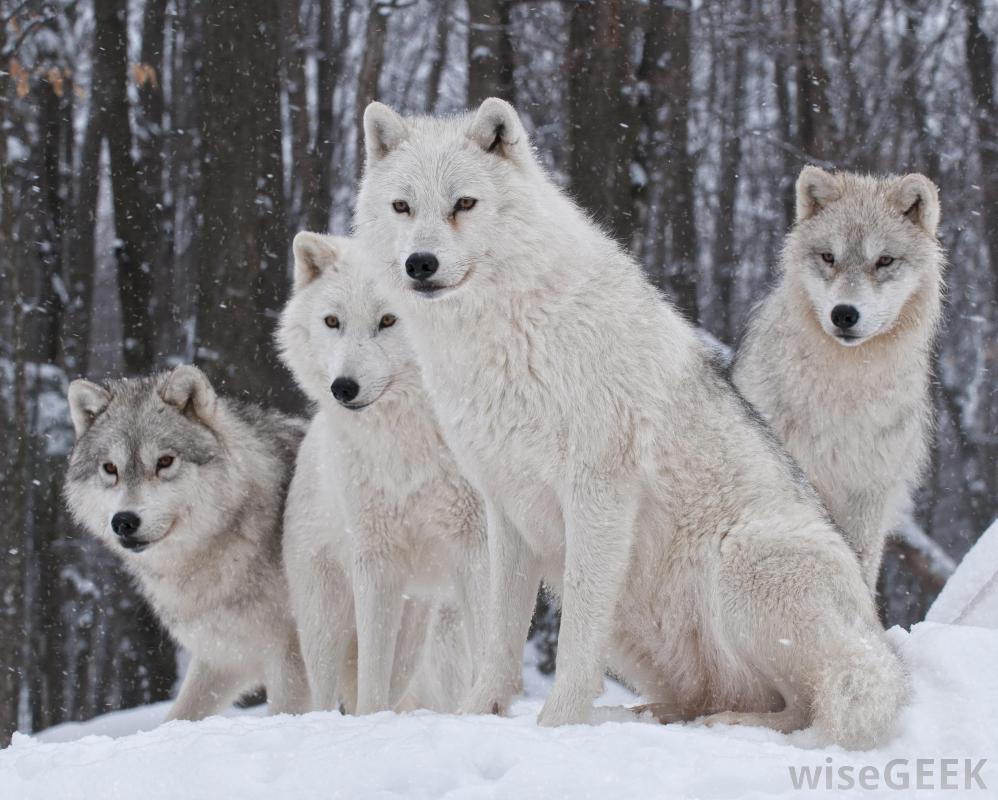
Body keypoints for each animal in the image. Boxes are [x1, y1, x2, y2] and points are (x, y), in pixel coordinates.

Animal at [64, 366, 310, 720]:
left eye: (165, 461)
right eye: (110, 468)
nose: (124, 521)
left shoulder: (293, 656)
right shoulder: (222, 657)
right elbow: (178, 716)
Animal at [356, 100, 912, 752]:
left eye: (463, 203)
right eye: (402, 206)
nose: (420, 263)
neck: (505, 335)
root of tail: (879, 644)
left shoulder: (598, 494)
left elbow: (575, 639)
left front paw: (557, 727)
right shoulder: (505, 507)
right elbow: (498, 637)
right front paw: (478, 716)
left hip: (742, 560)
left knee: (807, 703)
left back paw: (730, 726)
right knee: (705, 697)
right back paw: (645, 717)